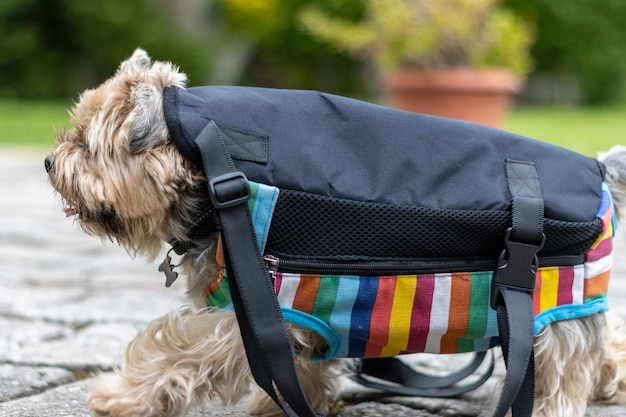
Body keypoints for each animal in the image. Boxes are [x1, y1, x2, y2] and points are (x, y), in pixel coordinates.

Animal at [45, 49, 626, 416]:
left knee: (563, 375)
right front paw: (275, 406)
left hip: (553, 309)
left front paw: (122, 396)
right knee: (605, 341)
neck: (207, 176)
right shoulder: (303, 320)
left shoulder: (242, 317)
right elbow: (305, 368)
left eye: (86, 144)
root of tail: (599, 171)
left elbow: (172, 351)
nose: (50, 161)